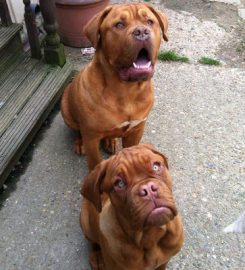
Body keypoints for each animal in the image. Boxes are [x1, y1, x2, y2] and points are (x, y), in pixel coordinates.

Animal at [60, 2, 168, 171]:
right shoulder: (91, 137)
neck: (126, 90)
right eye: (119, 25)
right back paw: (79, 143)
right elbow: (95, 163)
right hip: (66, 110)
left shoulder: (136, 130)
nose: (142, 32)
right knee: (77, 130)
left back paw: (110, 142)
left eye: (150, 22)